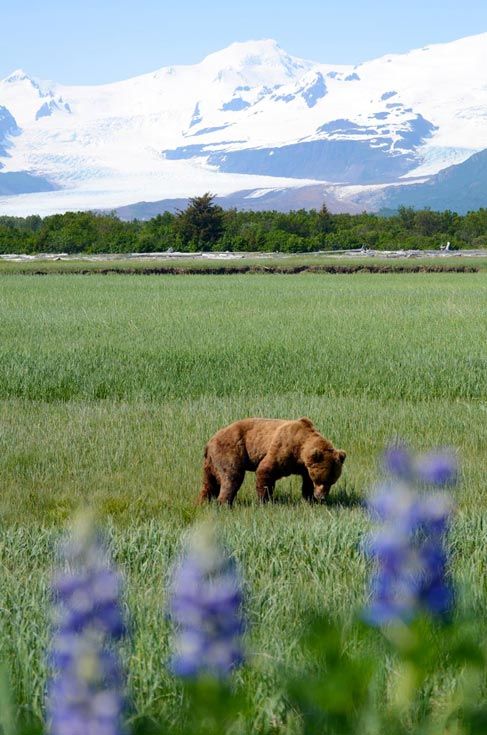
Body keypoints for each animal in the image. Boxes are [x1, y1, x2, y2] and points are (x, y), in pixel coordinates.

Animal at [198, 417, 346, 506]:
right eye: (322, 480)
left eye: (332, 481)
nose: (322, 497)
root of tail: (209, 442)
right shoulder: (284, 448)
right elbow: (266, 470)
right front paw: (265, 500)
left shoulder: (304, 467)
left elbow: (307, 482)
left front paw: (310, 499)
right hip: (229, 451)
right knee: (231, 477)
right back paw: (224, 503)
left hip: (210, 463)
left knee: (209, 483)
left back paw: (203, 501)